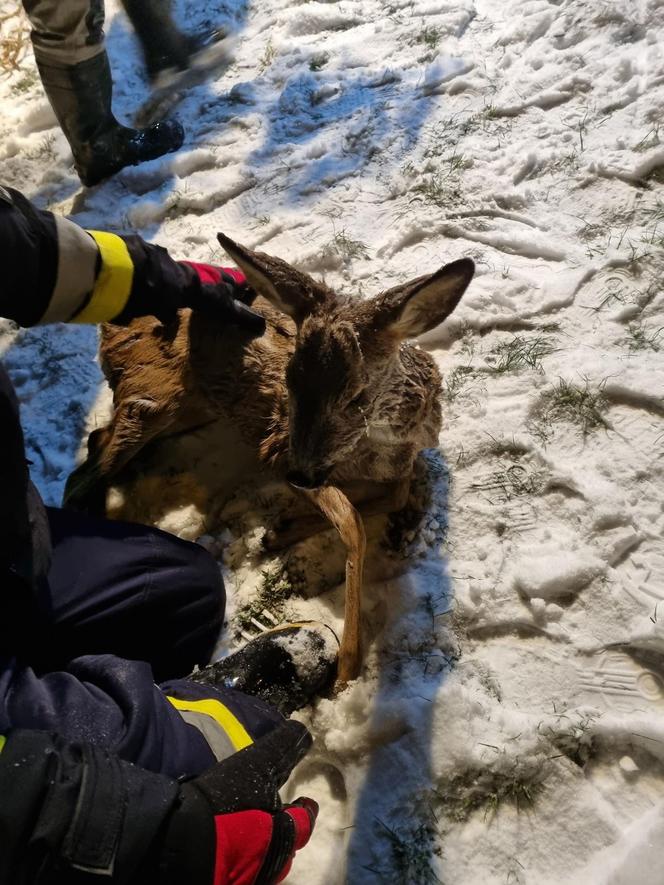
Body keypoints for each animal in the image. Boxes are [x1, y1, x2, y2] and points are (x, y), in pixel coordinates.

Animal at [65, 235, 474, 684]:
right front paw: (346, 666)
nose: (301, 475)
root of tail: (110, 323)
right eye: (290, 382)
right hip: (154, 395)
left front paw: (285, 529)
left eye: (356, 395)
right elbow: (352, 521)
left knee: (97, 439)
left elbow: (394, 494)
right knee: (80, 473)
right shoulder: (278, 447)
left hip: (190, 407)